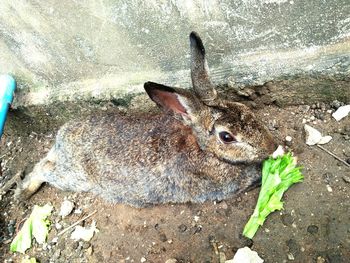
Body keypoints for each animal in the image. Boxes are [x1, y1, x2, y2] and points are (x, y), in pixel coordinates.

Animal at [15, 31, 276, 208]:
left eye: (244, 108)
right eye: (226, 136)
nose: (272, 147)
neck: (205, 150)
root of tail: (61, 138)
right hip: (73, 179)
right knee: (44, 169)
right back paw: (23, 192)